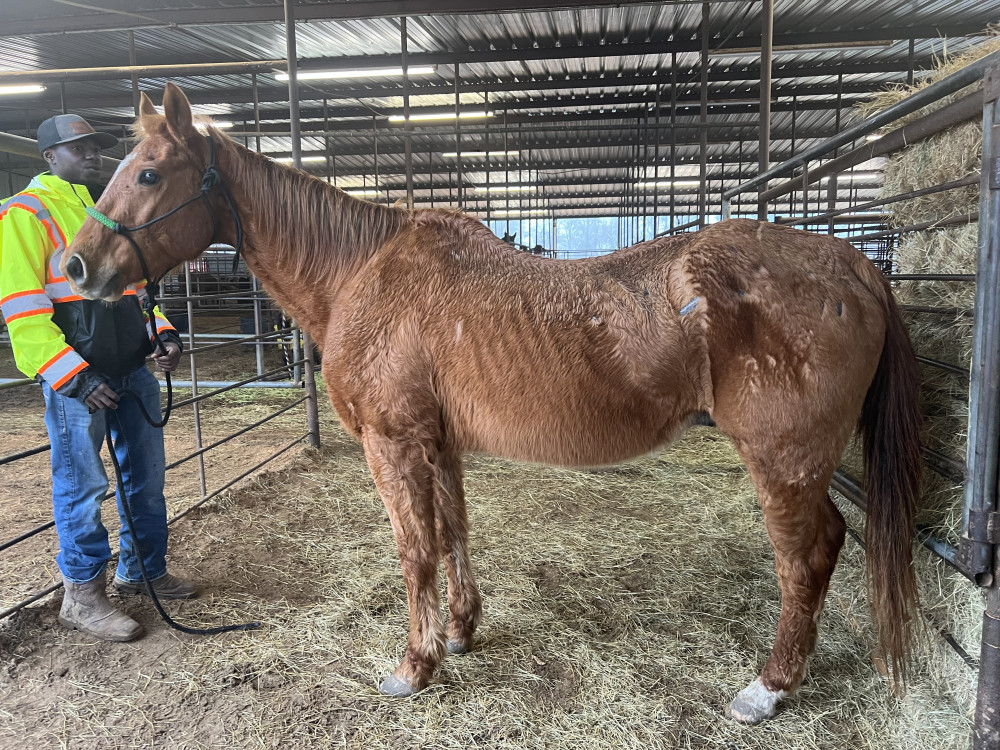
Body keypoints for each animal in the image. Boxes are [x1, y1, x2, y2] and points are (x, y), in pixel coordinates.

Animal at [63, 84, 921, 725]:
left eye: (148, 174)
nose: (74, 267)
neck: (362, 273)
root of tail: (852, 265)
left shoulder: (393, 442)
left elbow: (414, 550)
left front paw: (413, 666)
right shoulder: (436, 441)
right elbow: (452, 535)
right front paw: (460, 631)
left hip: (782, 461)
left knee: (806, 558)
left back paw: (767, 689)